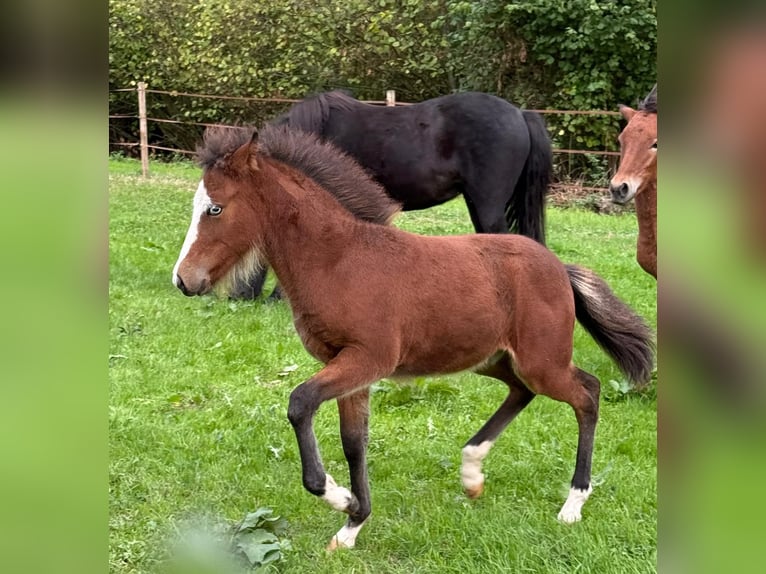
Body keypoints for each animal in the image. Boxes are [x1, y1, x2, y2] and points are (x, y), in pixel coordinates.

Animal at [172, 124, 654, 550]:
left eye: (215, 208)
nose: (183, 279)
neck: (337, 260)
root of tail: (558, 267)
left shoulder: (369, 358)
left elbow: (300, 403)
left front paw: (338, 498)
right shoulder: (347, 365)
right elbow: (354, 442)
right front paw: (352, 525)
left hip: (542, 360)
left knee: (587, 392)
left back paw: (573, 503)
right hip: (492, 359)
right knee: (523, 391)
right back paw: (472, 472)